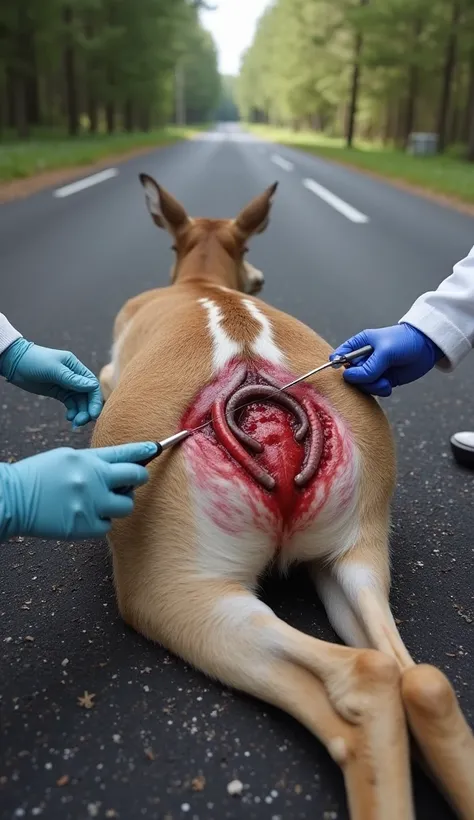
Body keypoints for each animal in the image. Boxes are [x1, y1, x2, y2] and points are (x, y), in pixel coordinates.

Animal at [91, 176, 474, 816]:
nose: (261, 279)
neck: (202, 285)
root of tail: (256, 378)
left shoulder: (106, 369)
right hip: (356, 552)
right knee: (420, 680)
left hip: (173, 588)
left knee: (367, 679)